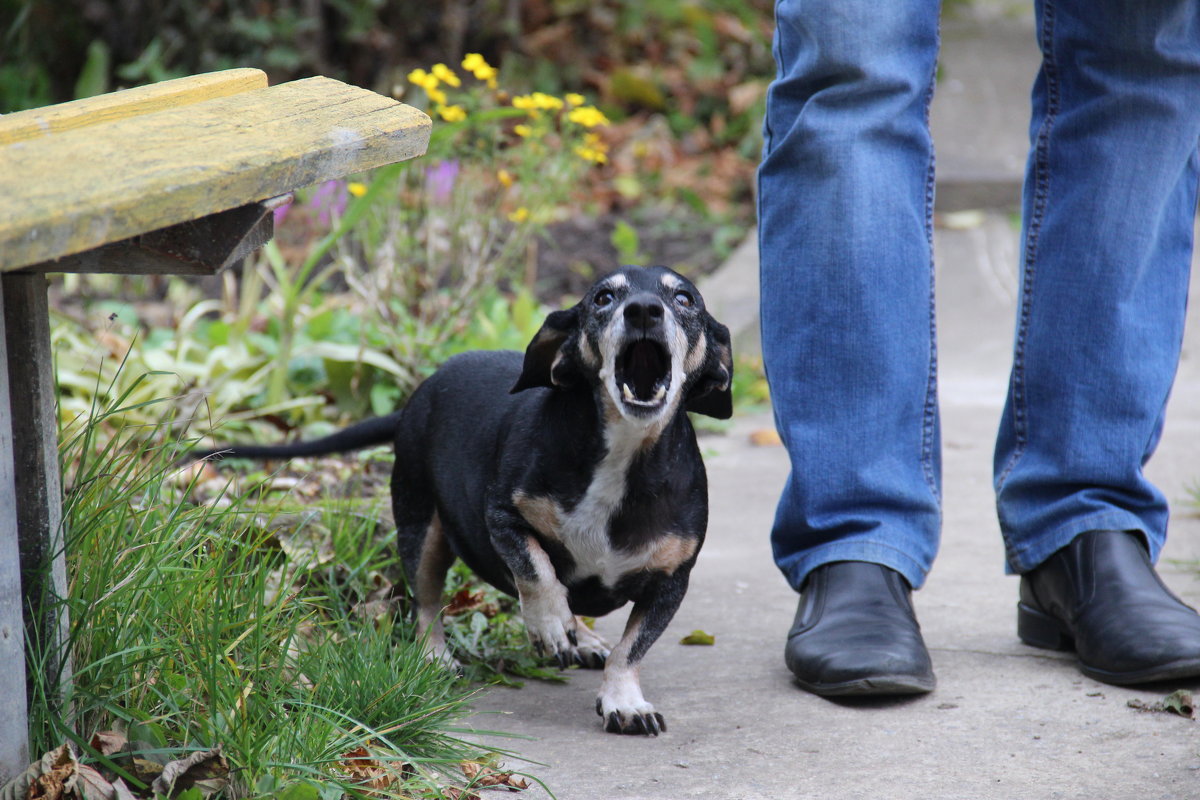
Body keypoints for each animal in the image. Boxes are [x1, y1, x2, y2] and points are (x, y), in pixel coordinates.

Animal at [196, 266, 729, 734]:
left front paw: (623, 700)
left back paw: (583, 637)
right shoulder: (504, 518)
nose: (644, 310)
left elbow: (630, 649)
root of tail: (418, 395)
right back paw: (436, 656)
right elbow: (538, 572)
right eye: (603, 297)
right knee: (427, 601)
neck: (621, 454)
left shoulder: (671, 582)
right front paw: (551, 624)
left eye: (685, 299)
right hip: (422, 528)